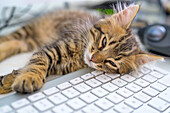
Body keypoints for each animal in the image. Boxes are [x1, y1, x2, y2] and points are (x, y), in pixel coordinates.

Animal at [0, 3, 162, 94]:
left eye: (111, 63)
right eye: (104, 42)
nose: (93, 59)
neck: (79, 55)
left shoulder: (58, 66)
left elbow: (27, 68)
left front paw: (9, 81)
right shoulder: (50, 49)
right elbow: (36, 65)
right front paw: (28, 78)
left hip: (29, 41)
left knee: (17, 43)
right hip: (28, 30)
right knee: (7, 39)